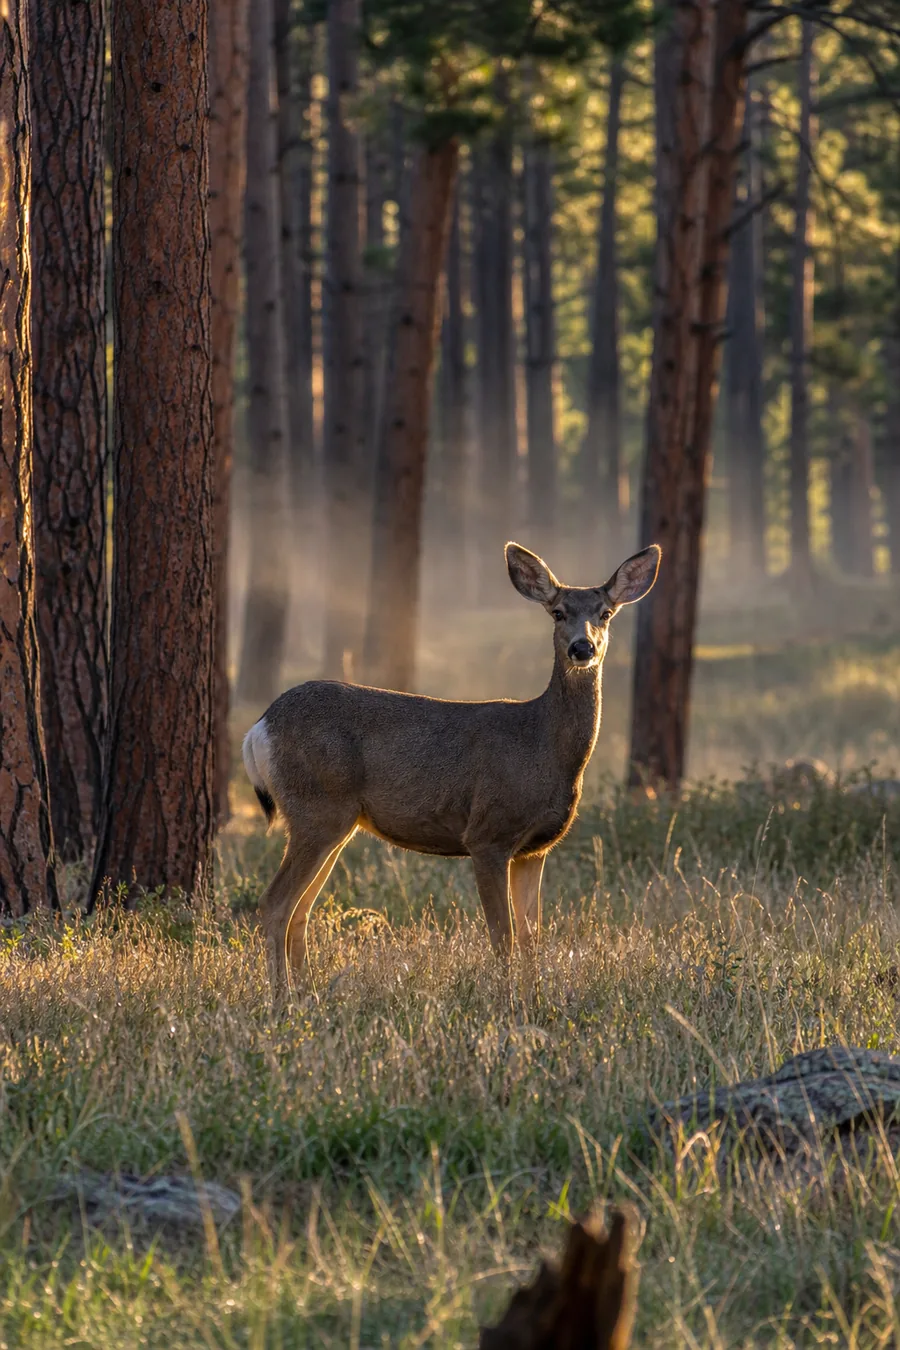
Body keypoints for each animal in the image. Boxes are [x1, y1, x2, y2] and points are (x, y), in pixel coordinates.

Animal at [242, 541, 661, 992]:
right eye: (558, 612)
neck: (543, 748)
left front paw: (533, 1000)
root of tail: (260, 728)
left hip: (335, 822)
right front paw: (505, 1001)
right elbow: (503, 937)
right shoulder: (488, 833)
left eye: (606, 613)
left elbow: (532, 937)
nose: (582, 649)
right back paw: (283, 999)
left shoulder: (535, 848)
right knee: (275, 903)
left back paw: (309, 996)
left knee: (301, 909)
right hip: (316, 809)